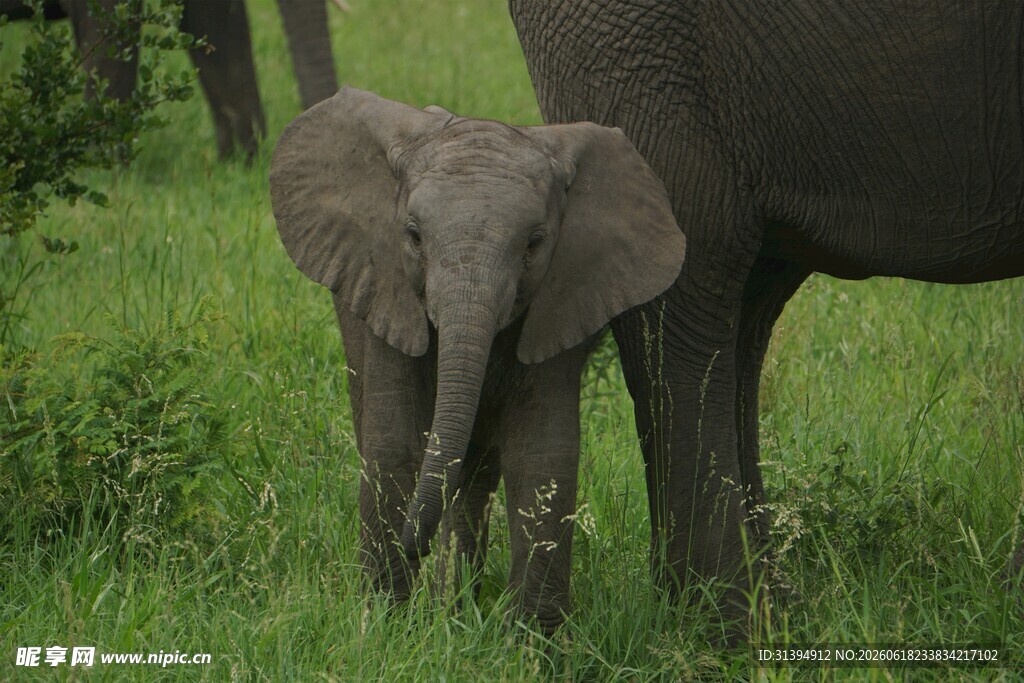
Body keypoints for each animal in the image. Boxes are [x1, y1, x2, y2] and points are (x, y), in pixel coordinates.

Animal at [269, 87, 684, 631]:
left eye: (534, 243)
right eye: (412, 235)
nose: (415, 548)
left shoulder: (560, 297)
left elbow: (542, 456)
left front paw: (531, 640)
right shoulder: (389, 291)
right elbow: (395, 446)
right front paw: (385, 627)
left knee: (473, 469)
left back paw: (455, 608)